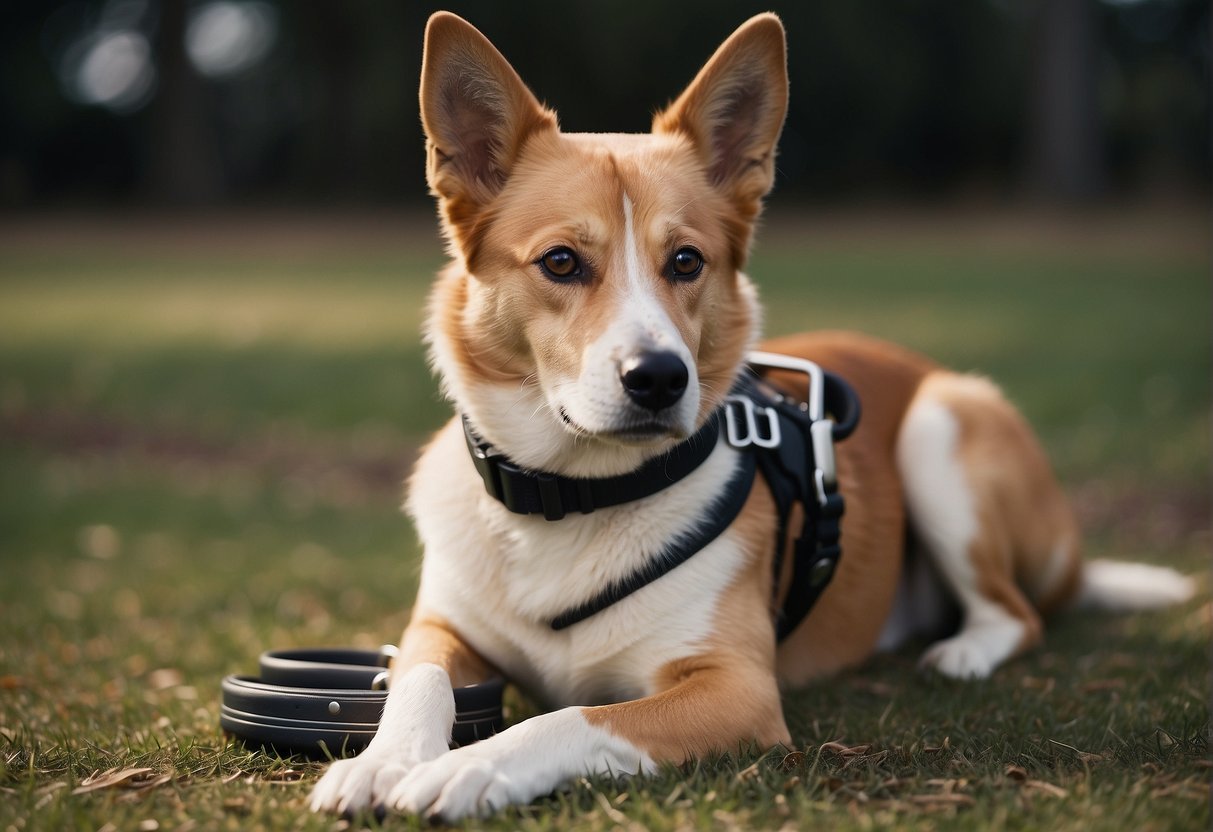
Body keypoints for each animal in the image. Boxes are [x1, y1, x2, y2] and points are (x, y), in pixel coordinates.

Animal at [308, 11, 1198, 819]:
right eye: (560, 262)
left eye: (685, 261)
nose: (659, 379)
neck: (571, 498)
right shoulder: (437, 628)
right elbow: (417, 682)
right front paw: (380, 762)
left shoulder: (734, 690)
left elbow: (572, 716)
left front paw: (471, 768)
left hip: (939, 427)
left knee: (1018, 614)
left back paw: (961, 650)